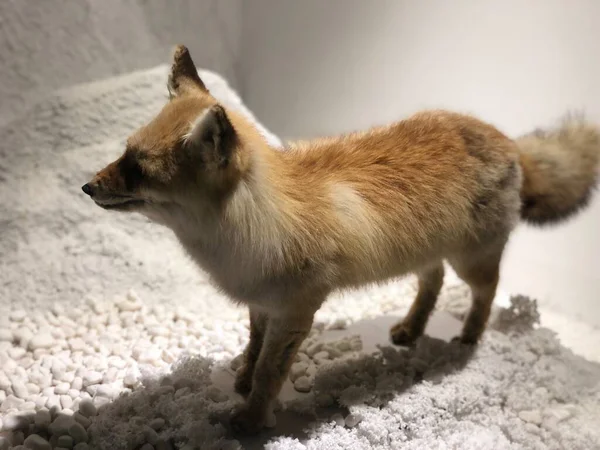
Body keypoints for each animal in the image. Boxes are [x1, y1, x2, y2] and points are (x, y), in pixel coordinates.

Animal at [83, 44, 600, 432]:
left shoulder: (298, 308)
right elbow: (252, 349)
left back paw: (468, 339)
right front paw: (242, 384)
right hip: (426, 255)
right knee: (431, 284)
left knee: (486, 293)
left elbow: (272, 368)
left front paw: (250, 420)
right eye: (124, 153)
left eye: (138, 169)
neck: (251, 227)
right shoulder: (261, 302)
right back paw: (411, 330)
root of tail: (506, 138)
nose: (86, 187)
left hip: (471, 261)